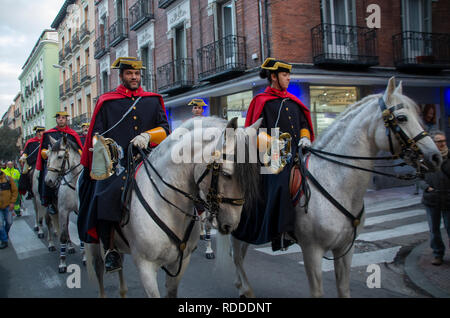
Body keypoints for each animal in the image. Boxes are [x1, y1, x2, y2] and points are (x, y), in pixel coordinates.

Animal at [45, 135, 85, 272]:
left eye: (59, 157)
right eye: (49, 158)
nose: (48, 181)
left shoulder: (79, 210)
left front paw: (85, 257)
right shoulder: (62, 210)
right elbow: (62, 235)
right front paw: (62, 263)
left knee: (66, 226)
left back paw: (70, 247)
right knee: (48, 223)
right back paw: (51, 244)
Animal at [85, 115, 262, 296]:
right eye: (226, 174)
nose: (230, 225)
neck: (168, 207)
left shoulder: (180, 263)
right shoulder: (145, 267)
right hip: (93, 244)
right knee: (99, 269)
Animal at [218, 77, 442, 298]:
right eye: (402, 118)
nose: (435, 157)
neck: (336, 182)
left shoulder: (345, 249)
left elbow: (343, 289)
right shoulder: (312, 250)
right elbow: (317, 291)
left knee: (238, 253)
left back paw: (241, 286)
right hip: (240, 225)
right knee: (236, 254)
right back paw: (246, 289)